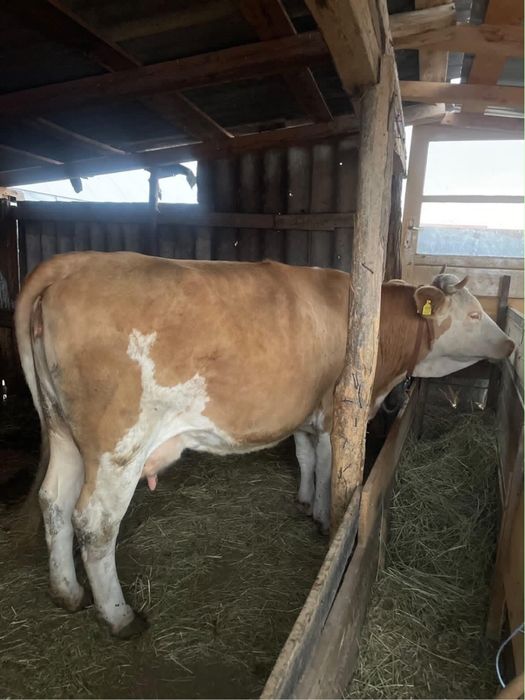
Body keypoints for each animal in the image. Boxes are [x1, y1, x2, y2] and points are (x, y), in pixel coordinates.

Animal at [15, 252, 514, 637]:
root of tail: (78, 261)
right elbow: (330, 468)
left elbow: (306, 458)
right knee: (95, 522)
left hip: (62, 431)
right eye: (474, 313)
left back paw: (67, 592)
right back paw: (119, 617)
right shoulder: (335, 412)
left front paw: (305, 500)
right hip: (119, 446)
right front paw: (325, 518)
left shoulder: (305, 415)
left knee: (54, 501)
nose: (510, 344)